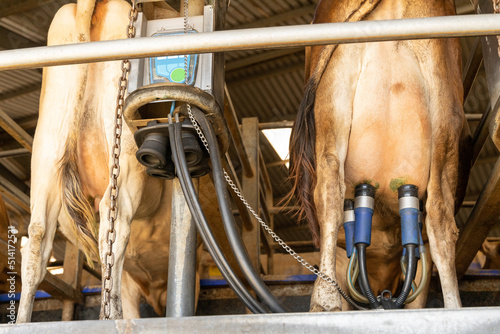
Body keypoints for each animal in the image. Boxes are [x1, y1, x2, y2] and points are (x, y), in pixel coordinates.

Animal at [15, 0, 230, 320]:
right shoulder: (186, 277)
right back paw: (108, 317)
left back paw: (21, 321)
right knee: (112, 222)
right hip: (125, 148)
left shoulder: (130, 277)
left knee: (37, 239)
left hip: (47, 146)